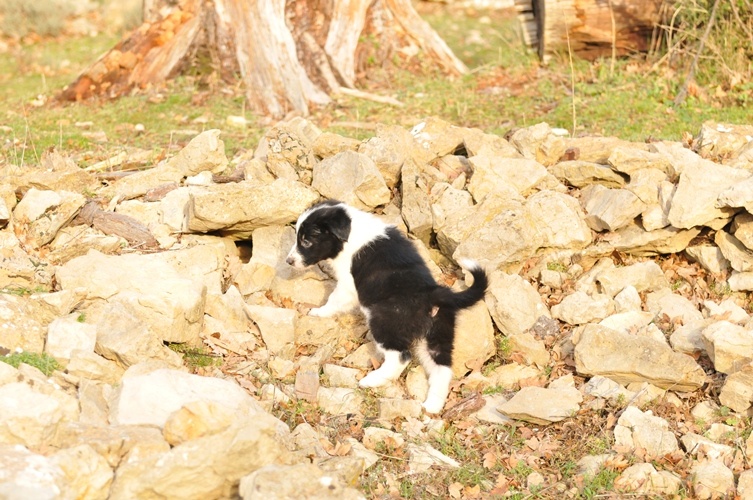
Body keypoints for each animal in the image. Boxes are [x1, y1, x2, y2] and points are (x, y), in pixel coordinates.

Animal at [284, 199, 488, 414]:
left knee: (400, 356)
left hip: (384, 322)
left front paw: (318, 312)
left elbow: (334, 299)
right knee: (442, 369)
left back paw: (372, 380)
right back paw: (432, 406)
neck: (351, 232)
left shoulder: (348, 285)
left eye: (306, 241)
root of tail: (433, 292)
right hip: (437, 336)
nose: (288, 261)